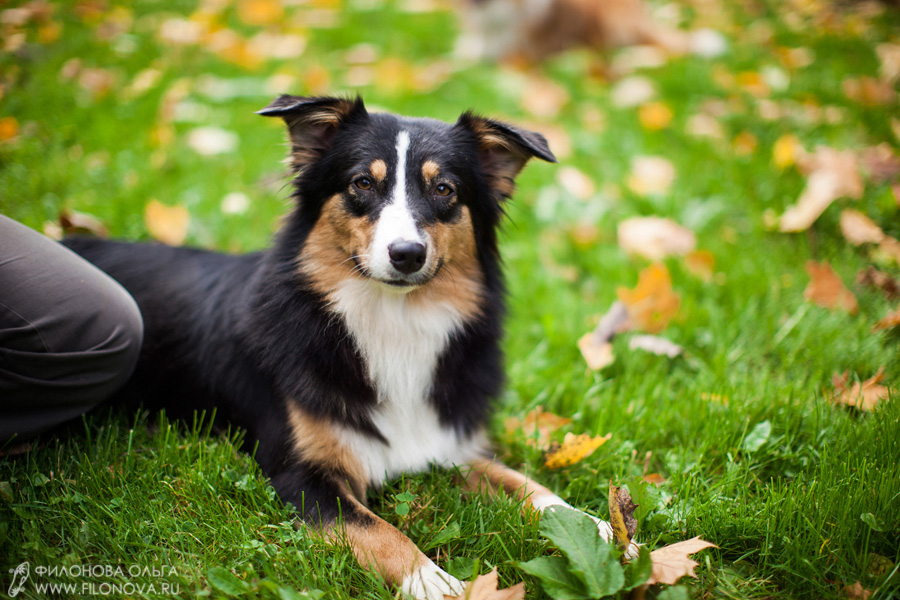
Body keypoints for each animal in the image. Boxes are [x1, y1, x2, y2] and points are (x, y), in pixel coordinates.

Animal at [63, 96, 632, 596]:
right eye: (362, 183)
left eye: (444, 189)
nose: (406, 254)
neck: (393, 320)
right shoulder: (301, 474)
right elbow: (378, 529)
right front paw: (431, 581)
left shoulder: (449, 443)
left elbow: (523, 483)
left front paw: (595, 524)